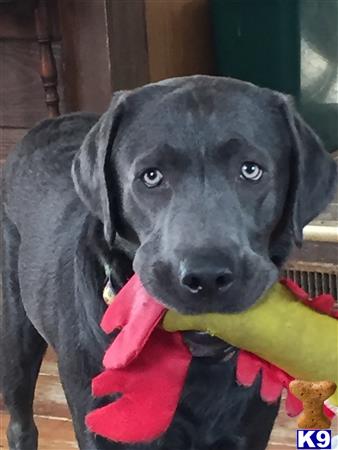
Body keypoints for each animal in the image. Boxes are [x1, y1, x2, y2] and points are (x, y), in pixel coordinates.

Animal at [1, 75, 336, 448]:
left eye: (251, 171)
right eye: (151, 176)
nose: (206, 277)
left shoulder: (250, 429)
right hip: (16, 337)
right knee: (20, 420)